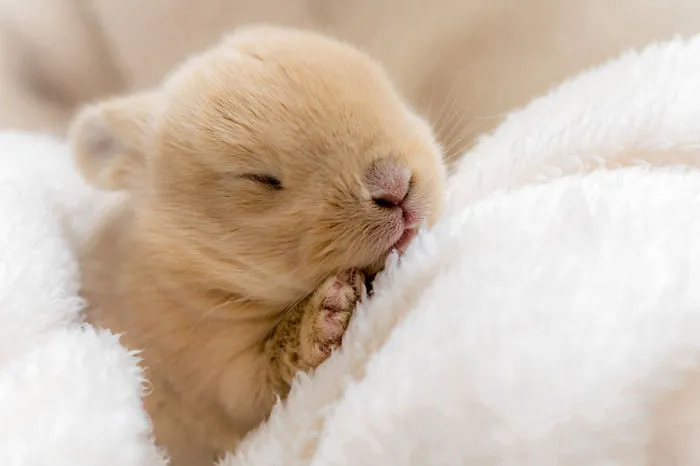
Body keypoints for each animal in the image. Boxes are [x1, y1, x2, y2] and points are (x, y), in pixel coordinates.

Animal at [70, 25, 446, 466]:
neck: (194, 273)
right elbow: (268, 372)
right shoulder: (220, 374)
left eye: (385, 90)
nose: (395, 186)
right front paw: (329, 312)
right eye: (260, 178)